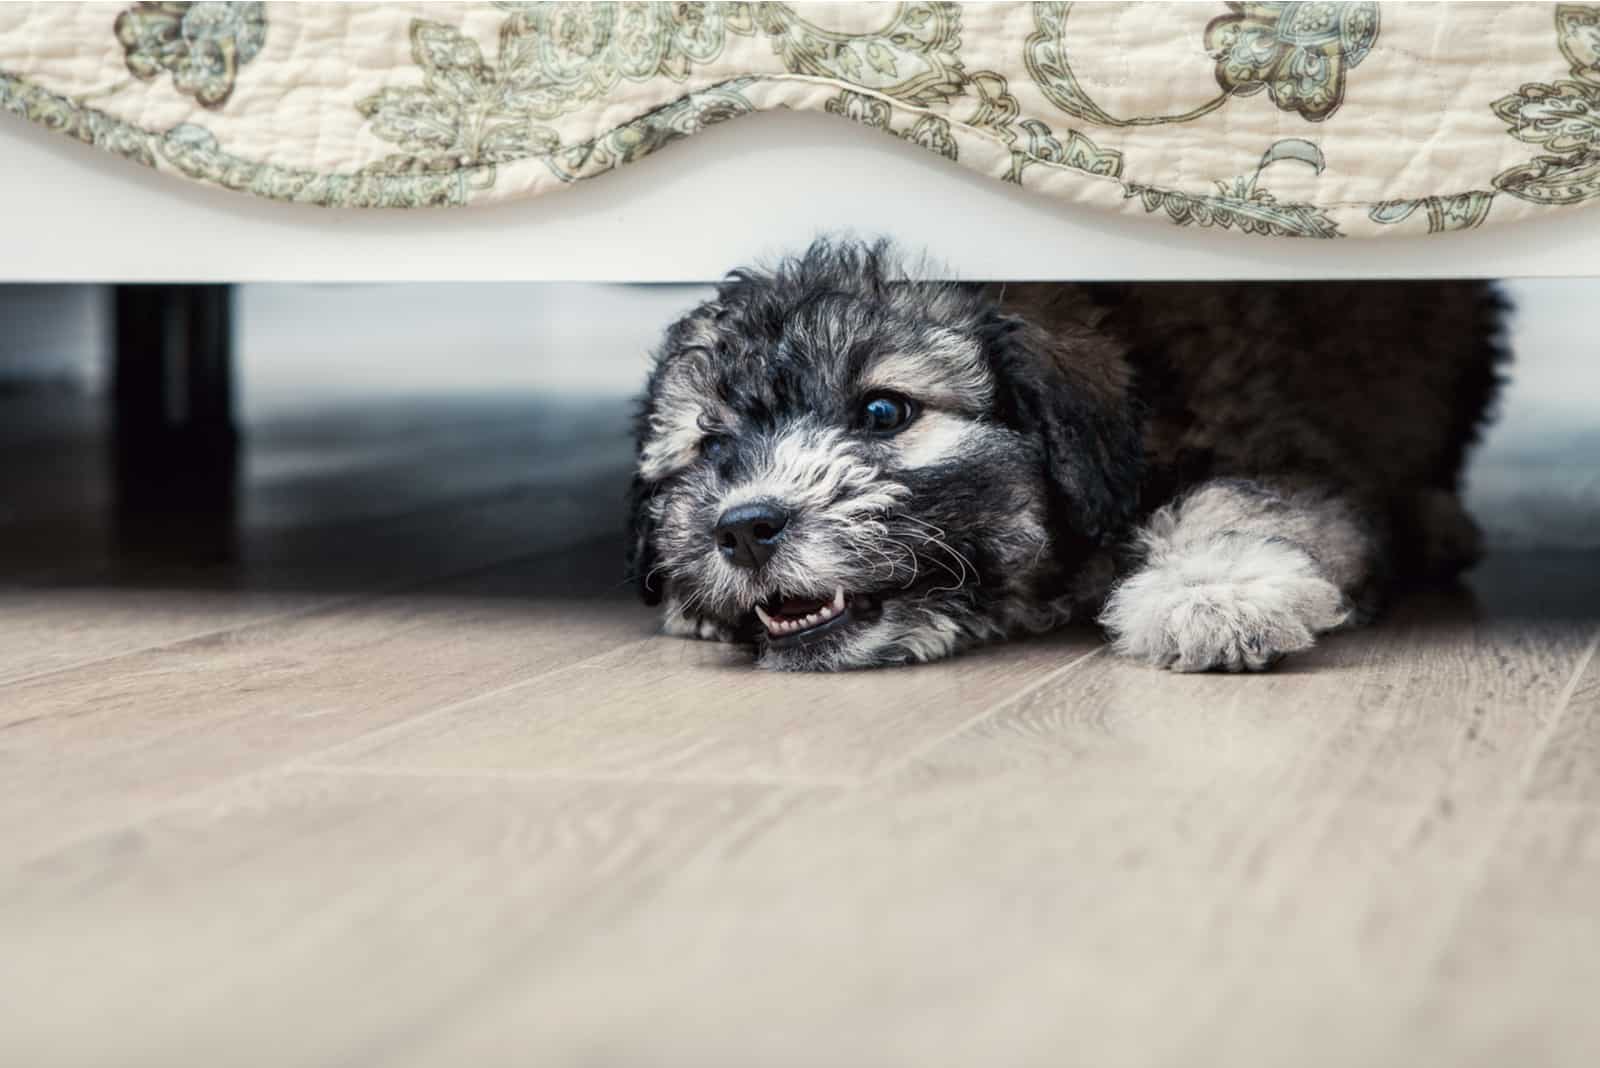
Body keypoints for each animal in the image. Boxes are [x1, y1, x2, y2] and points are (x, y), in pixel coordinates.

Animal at [620, 243, 1497, 674]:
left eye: (883, 412)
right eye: (711, 444)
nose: (744, 528)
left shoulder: (1276, 446)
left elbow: (1245, 501)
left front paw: (1212, 595)